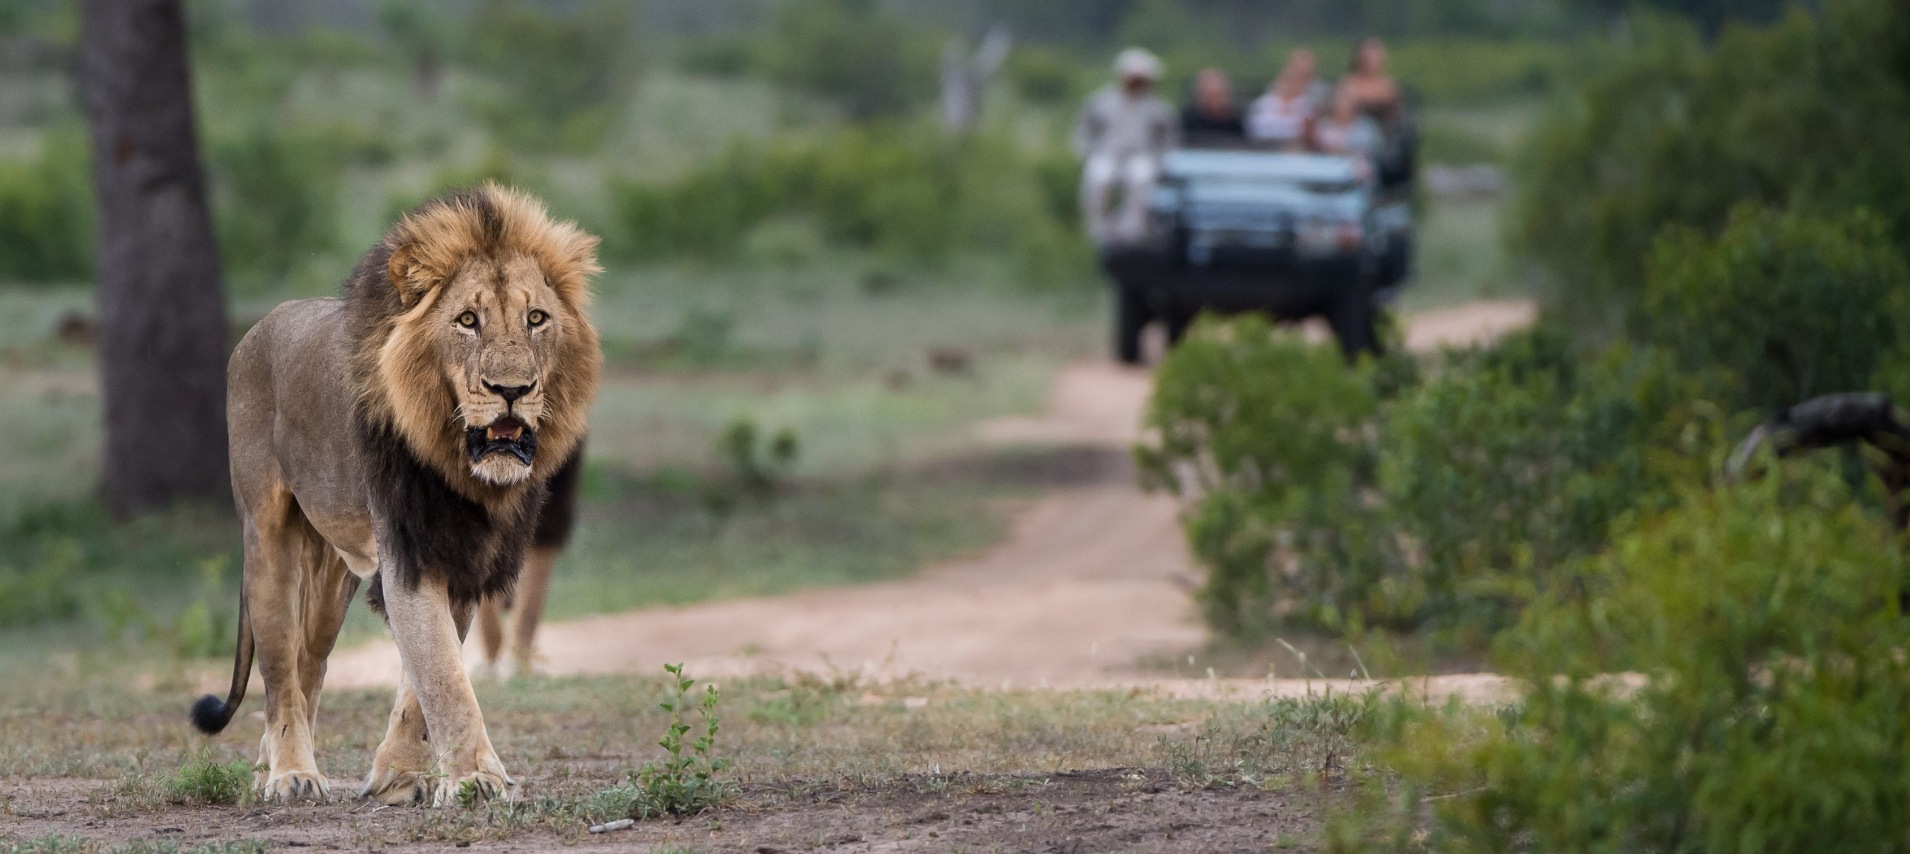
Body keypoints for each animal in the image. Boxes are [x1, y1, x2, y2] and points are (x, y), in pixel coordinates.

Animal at [189, 184, 603, 806]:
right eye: (467, 321)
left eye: (537, 319)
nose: (512, 389)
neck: (458, 464)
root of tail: (256, 331)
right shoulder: (410, 546)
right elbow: (442, 673)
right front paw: (476, 780)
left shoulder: (459, 552)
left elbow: (423, 681)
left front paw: (399, 777)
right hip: (267, 539)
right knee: (280, 670)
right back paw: (292, 774)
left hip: (332, 572)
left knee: (310, 664)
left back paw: (269, 768)